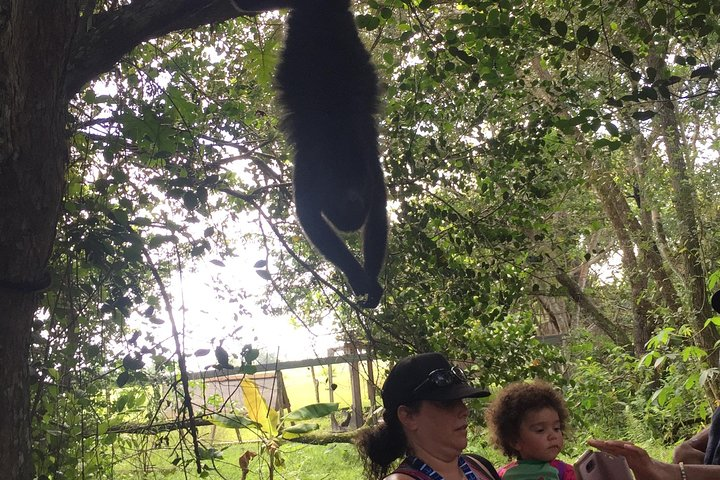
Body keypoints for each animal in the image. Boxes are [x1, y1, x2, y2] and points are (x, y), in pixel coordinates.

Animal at [275, 0, 387, 308]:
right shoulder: (311, 165)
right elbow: (308, 215)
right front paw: (358, 276)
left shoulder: (368, 167)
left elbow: (377, 210)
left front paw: (368, 279)